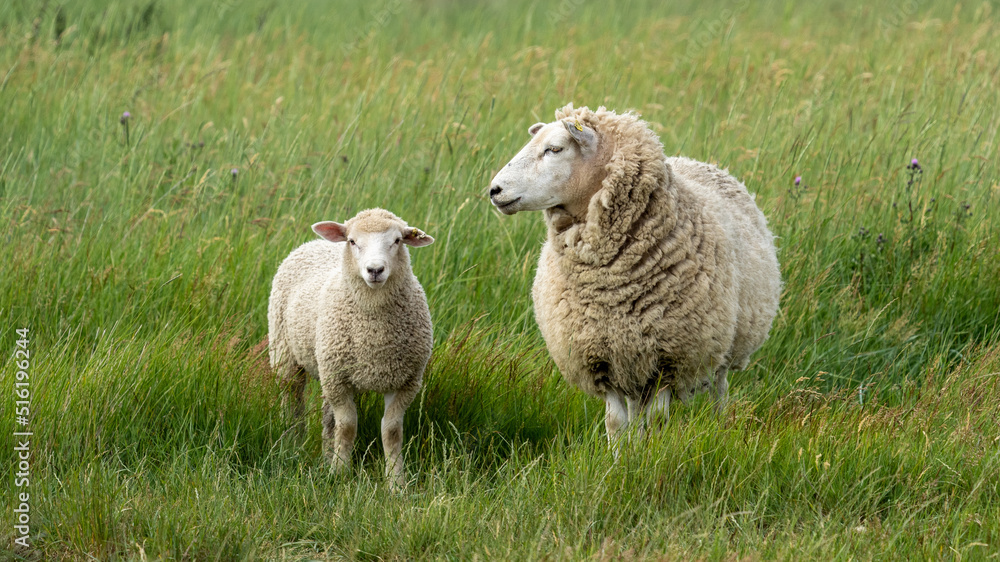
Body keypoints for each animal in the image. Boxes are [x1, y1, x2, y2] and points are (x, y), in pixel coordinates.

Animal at [268, 208, 436, 488]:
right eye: (353, 241)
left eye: (397, 241)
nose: (375, 270)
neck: (374, 332)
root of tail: (313, 243)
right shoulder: (338, 379)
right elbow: (347, 427)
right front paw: (339, 475)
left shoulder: (405, 381)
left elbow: (391, 432)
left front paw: (396, 483)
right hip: (286, 355)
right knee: (292, 403)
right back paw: (292, 445)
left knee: (327, 419)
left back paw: (326, 455)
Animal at [486, 103, 780, 440]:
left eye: (555, 149)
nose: (494, 190)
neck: (610, 285)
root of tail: (701, 163)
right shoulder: (602, 357)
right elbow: (616, 422)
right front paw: (620, 454)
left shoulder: (670, 358)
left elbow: (658, 421)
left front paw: (652, 452)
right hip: (633, 363)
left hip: (720, 347)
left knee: (719, 392)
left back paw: (718, 427)